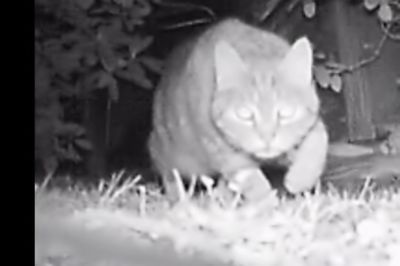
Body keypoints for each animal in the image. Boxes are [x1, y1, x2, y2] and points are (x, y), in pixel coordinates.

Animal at [147, 18, 328, 202]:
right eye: (244, 115)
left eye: (286, 113)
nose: (267, 138)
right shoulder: (224, 151)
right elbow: (251, 179)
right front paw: (267, 203)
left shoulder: (313, 124)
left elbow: (319, 141)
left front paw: (301, 179)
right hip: (176, 157)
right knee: (166, 169)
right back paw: (178, 198)